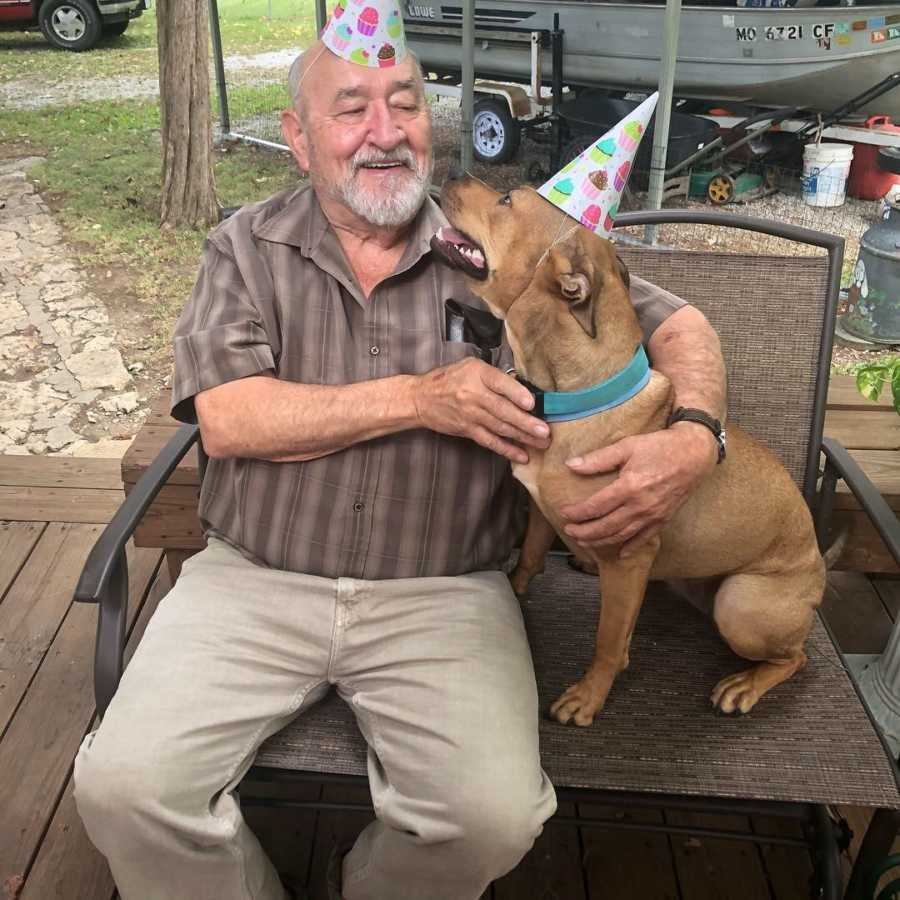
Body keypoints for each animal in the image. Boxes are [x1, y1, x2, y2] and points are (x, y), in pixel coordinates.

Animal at [432, 174, 828, 724]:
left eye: (508, 200)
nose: (449, 175)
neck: (574, 396)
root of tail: (820, 572)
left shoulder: (628, 561)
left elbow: (607, 640)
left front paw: (588, 696)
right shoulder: (541, 511)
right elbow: (529, 559)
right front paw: (514, 590)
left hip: (741, 606)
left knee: (798, 657)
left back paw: (745, 685)